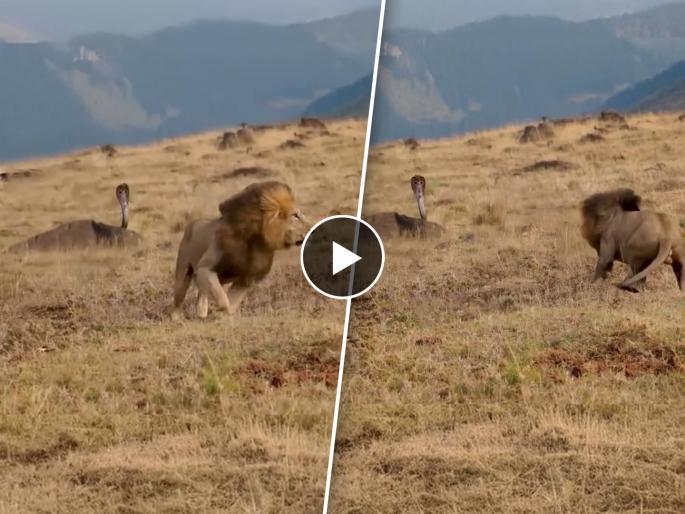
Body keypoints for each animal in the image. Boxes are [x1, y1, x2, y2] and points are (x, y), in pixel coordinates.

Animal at [172, 181, 309, 319]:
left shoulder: (246, 279)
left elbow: (231, 304)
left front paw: (224, 315)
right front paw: (217, 310)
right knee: (178, 301)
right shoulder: (205, 268)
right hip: (183, 276)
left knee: (202, 295)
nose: (310, 228)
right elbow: (223, 300)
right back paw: (177, 318)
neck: (255, 242)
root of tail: (192, 224)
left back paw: (201, 315)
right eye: (295, 215)